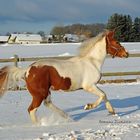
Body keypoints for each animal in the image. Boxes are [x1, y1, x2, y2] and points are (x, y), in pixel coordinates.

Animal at [0, 30, 128, 123]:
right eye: (117, 42)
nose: (126, 54)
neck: (93, 62)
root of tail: (27, 70)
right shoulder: (89, 86)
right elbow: (102, 95)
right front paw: (88, 106)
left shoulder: (93, 86)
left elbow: (104, 95)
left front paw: (112, 111)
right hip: (39, 94)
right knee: (32, 109)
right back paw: (40, 125)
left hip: (45, 92)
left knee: (47, 104)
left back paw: (67, 117)